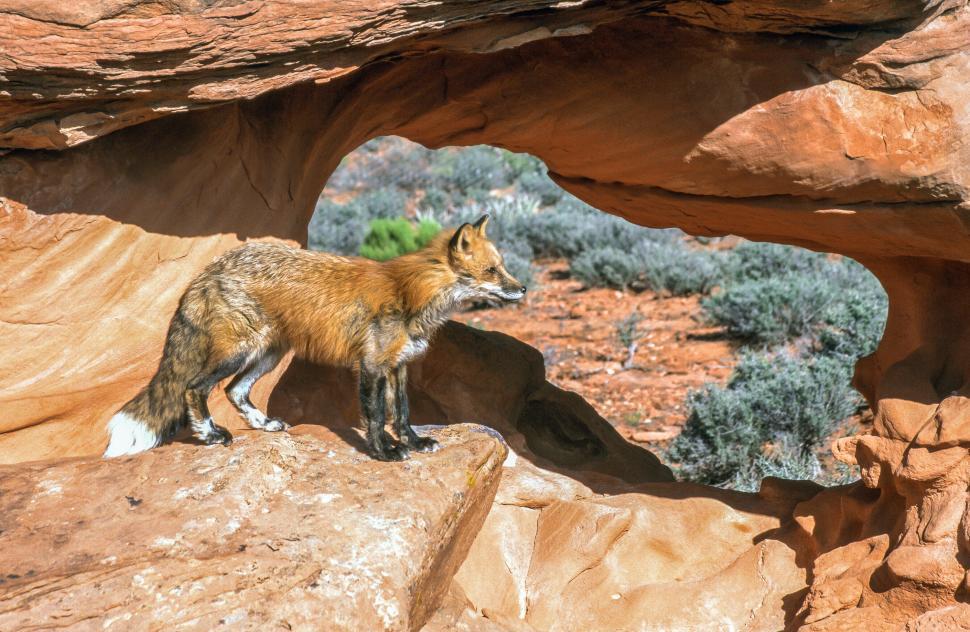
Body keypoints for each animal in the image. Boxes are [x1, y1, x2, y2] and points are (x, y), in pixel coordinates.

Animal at [103, 214, 525, 461]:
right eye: (493, 270)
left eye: (503, 266)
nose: (522, 288)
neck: (411, 293)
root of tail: (210, 268)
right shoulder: (372, 365)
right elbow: (376, 416)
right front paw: (384, 452)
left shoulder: (398, 365)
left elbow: (403, 413)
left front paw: (413, 443)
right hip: (238, 351)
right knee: (194, 388)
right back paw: (211, 435)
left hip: (269, 353)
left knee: (235, 391)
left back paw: (264, 425)